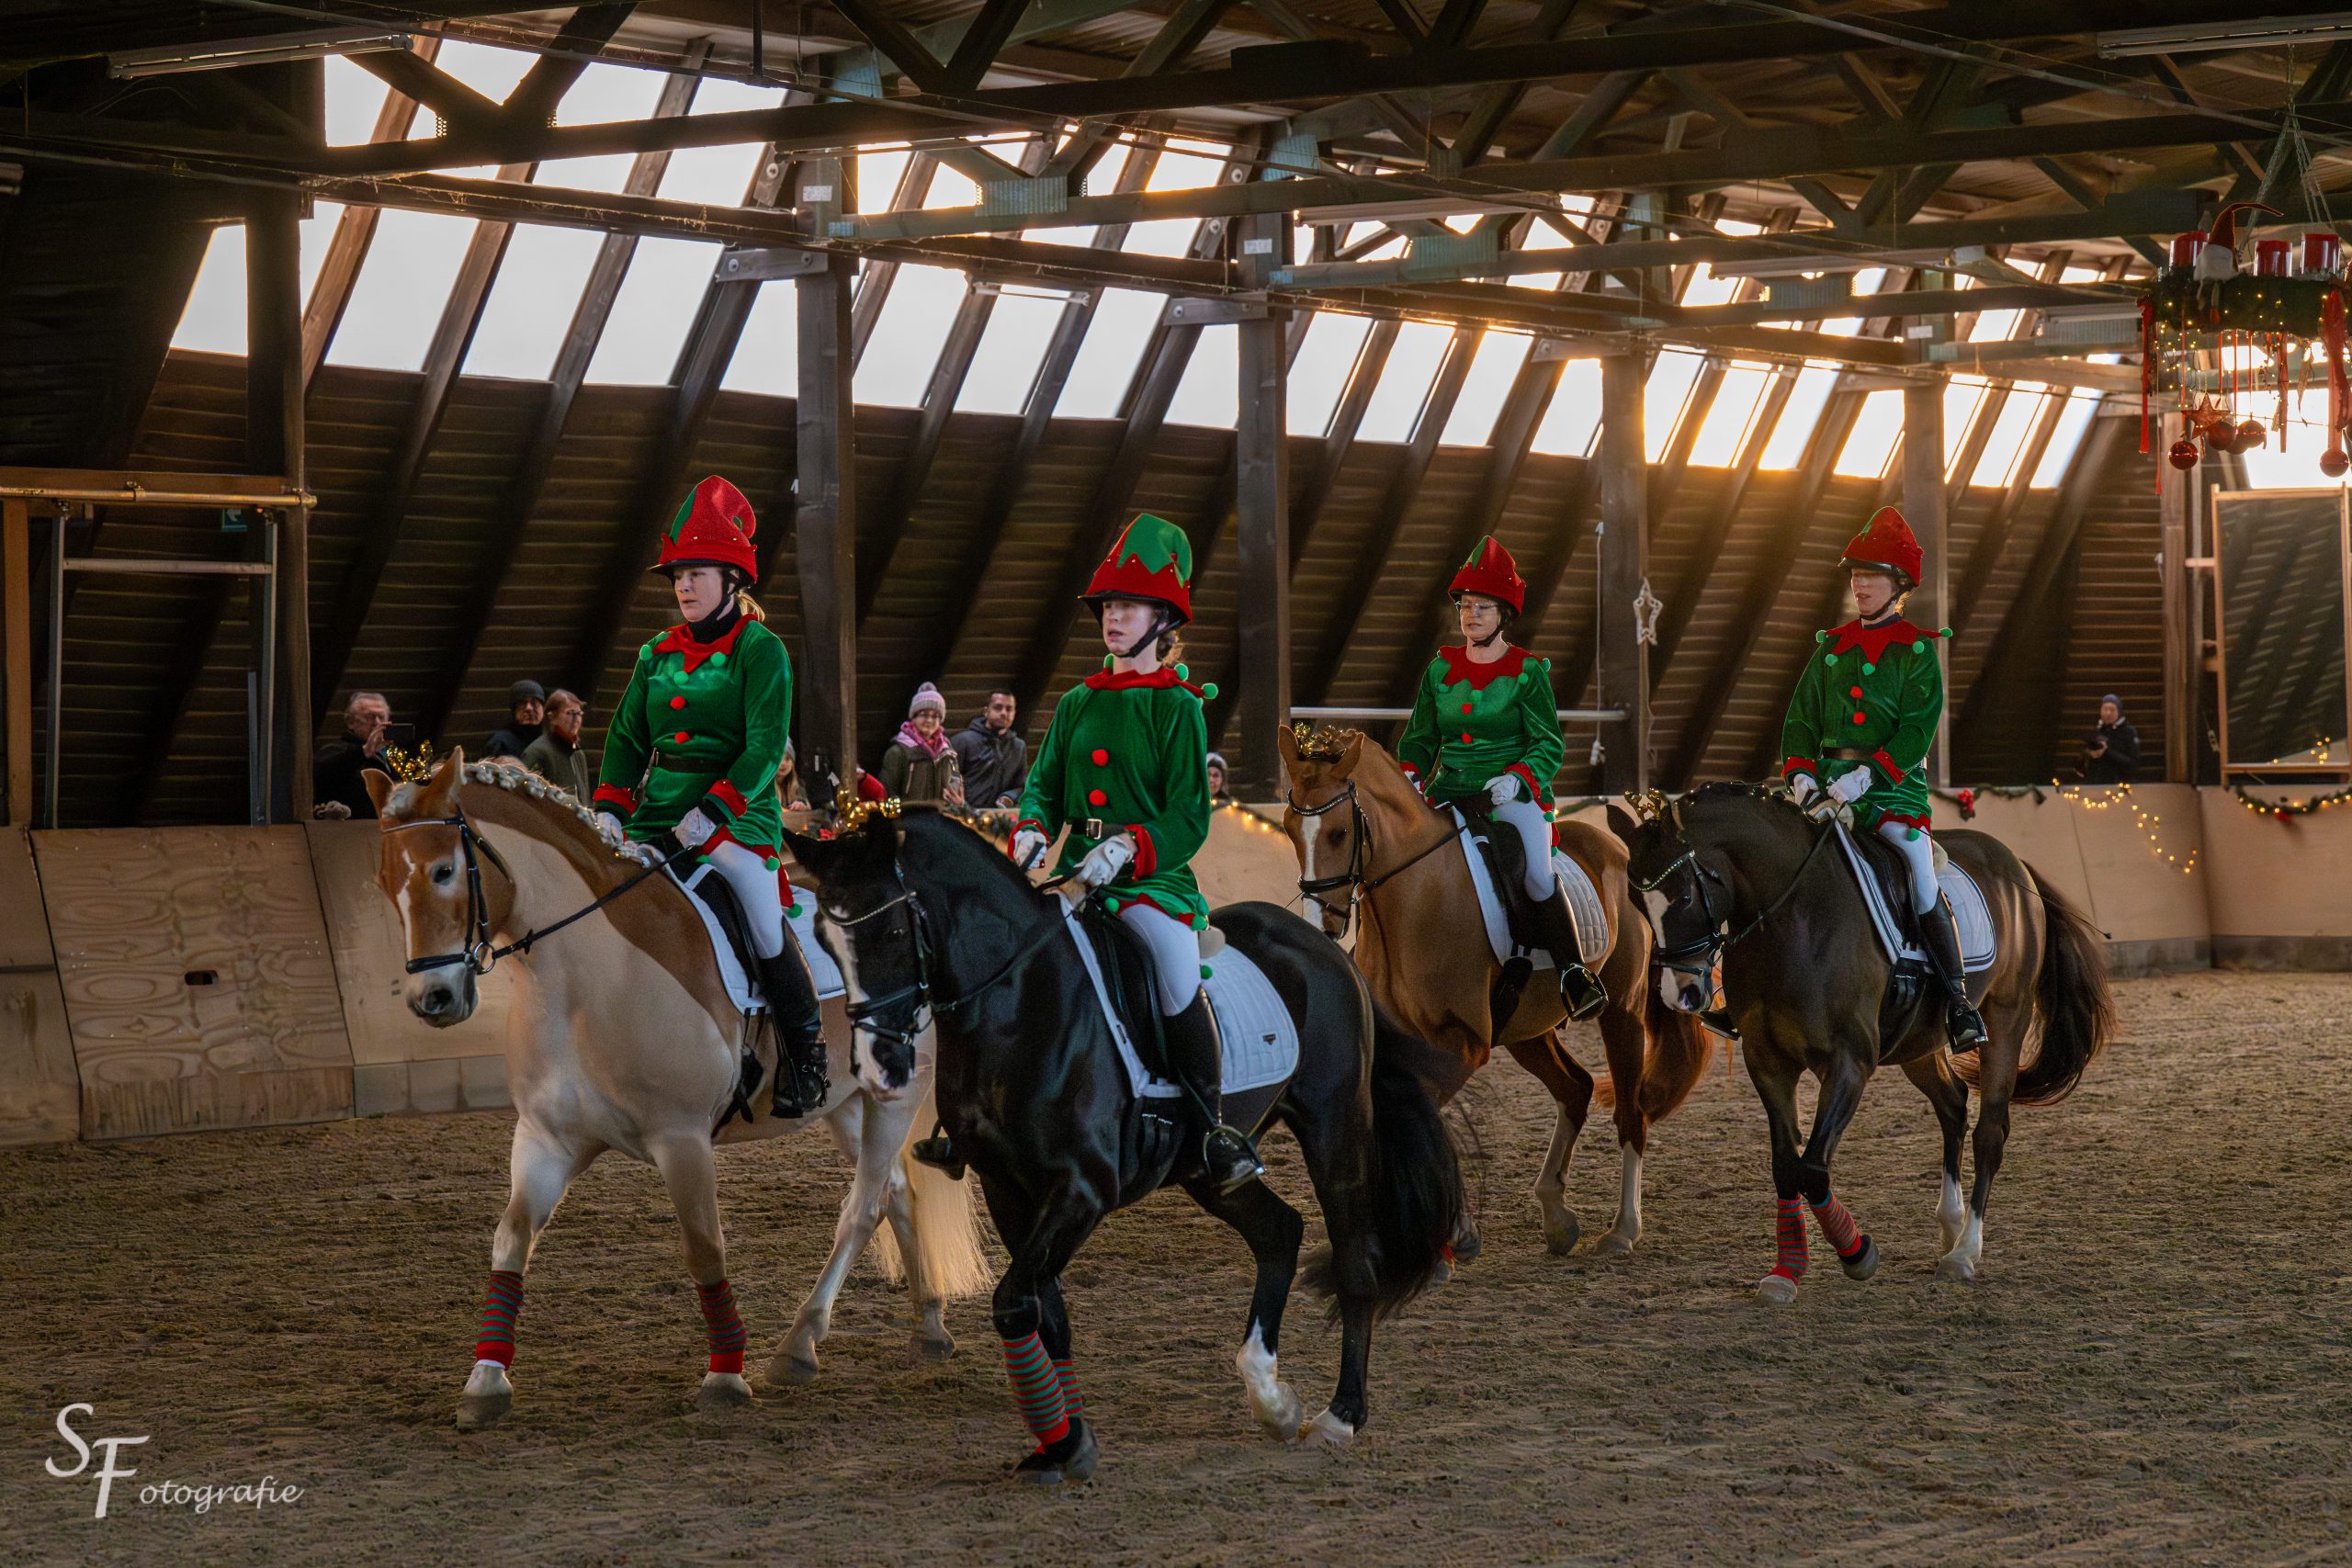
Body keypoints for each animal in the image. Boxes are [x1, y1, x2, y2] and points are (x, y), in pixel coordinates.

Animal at [364, 750, 990, 1428]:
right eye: (383, 881)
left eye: (445, 870)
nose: (433, 999)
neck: (584, 978)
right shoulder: (545, 1138)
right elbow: (513, 1237)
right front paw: (484, 1381)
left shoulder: (682, 1139)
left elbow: (704, 1248)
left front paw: (725, 1376)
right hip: (847, 1102)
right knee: (897, 1192)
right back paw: (928, 1326)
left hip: (897, 1093)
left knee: (863, 1207)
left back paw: (799, 1345)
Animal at [785, 806, 1466, 1484]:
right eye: (821, 937)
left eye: (892, 931)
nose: (877, 1067)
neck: (1020, 1004)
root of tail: (1327, 949)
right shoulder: (1008, 1188)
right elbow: (1047, 1314)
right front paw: (1064, 1440)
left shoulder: (1083, 1189)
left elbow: (1014, 1304)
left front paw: (1065, 1439)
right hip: (1205, 1169)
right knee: (1279, 1231)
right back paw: (1271, 1398)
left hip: (1334, 1128)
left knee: (1355, 1261)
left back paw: (1339, 1415)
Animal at [1276, 726, 1713, 1258]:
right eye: (1289, 829)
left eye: (1339, 833)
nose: (1322, 925)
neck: (1416, 901)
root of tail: (1619, 851)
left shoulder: (1463, 1043)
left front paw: (1450, 1236)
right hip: (1526, 1028)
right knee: (1576, 1088)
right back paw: (1556, 1214)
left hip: (1621, 1016)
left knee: (1632, 1115)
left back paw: (1622, 1230)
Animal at [1613, 784, 2115, 1300]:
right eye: (1635, 900)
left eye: (1684, 895)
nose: (1680, 994)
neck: (1793, 920)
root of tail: (2015, 867)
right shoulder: (1767, 1062)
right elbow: (1785, 1166)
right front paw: (1786, 1272)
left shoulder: (1850, 1061)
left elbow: (1813, 1168)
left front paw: (1857, 1255)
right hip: (1919, 1042)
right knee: (1953, 1104)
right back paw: (1950, 1224)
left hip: (2006, 1021)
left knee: (1989, 1132)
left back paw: (1964, 1252)